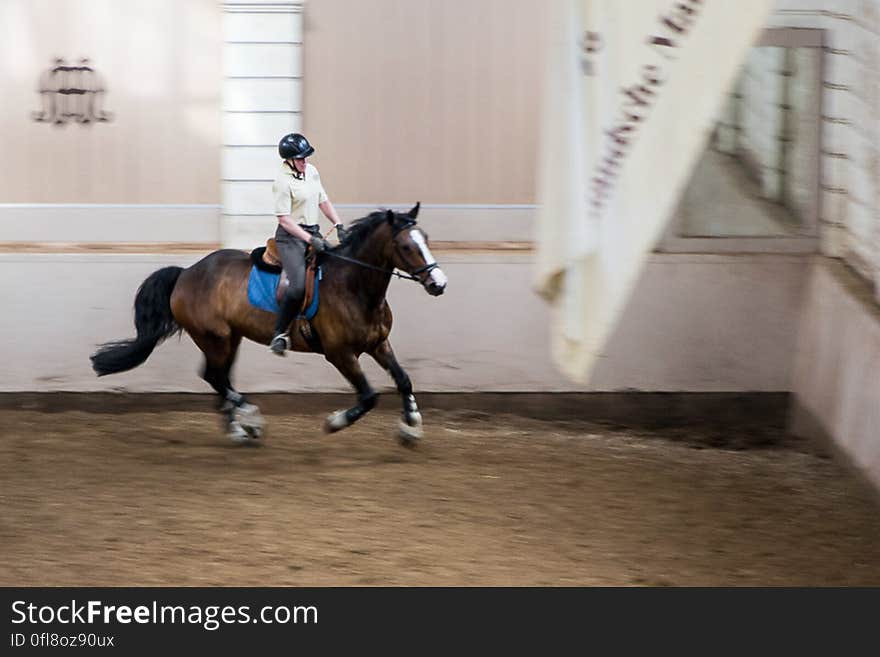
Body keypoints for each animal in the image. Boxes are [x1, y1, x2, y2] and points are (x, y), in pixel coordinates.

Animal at [90, 202, 446, 444]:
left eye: (427, 238)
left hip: (230, 338)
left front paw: (411, 426)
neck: (354, 285)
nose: (438, 283)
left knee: (220, 378)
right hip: (214, 338)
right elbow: (369, 396)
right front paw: (335, 422)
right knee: (214, 376)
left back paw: (237, 428)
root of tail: (186, 273)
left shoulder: (378, 343)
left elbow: (404, 380)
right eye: (406, 246)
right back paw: (250, 419)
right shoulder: (340, 354)